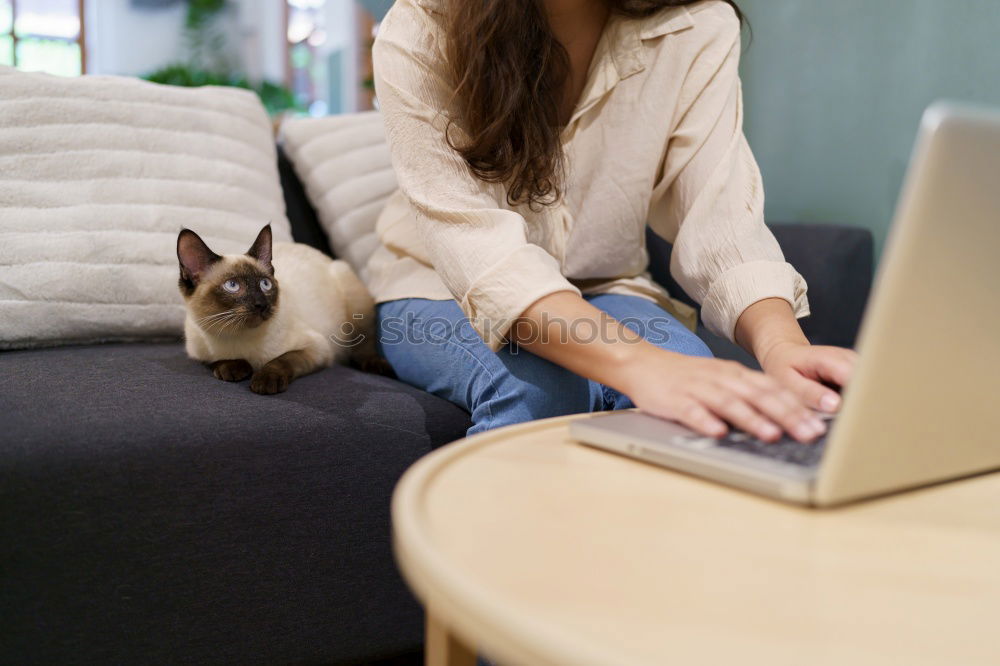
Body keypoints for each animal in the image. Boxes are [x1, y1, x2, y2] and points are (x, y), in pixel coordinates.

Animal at [178, 226, 376, 392]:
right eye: (232, 285)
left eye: (265, 284)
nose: (261, 304)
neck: (235, 336)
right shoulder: (197, 353)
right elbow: (216, 360)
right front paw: (233, 369)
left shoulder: (317, 348)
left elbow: (282, 360)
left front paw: (264, 381)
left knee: (364, 350)